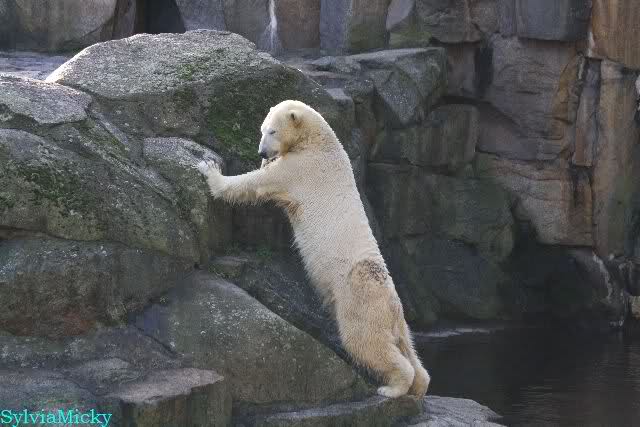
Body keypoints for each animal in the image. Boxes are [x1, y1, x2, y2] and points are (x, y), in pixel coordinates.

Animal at [197, 99, 430, 398]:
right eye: (262, 129)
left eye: (272, 131)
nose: (262, 151)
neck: (320, 142)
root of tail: (392, 303)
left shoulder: (302, 168)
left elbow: (257, 182)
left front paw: (209, 168)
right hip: (393, 317)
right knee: (408, 347)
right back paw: (419, 386)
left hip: (359, 300)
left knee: (366, 341)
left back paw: (391, 388)